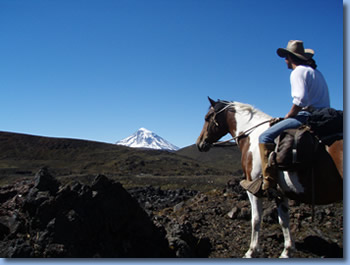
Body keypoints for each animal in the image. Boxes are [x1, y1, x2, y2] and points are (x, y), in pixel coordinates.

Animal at [196, 96, 344, 256]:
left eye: (207, 118)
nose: (199, 143)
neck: (252, 135)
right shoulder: (281, 192)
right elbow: (284, 220)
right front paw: (287, 251)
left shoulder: (253, 189)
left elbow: (255, 219)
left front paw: (251, 251)